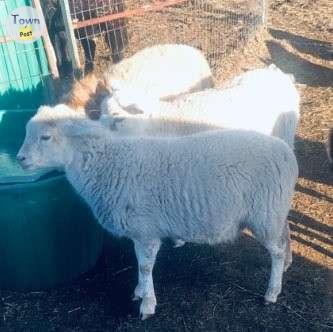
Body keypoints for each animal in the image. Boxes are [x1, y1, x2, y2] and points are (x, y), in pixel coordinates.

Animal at [16, 105, 296, 320]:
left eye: (45, 137)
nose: (20, 159)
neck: (107, 164)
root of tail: (286, 152)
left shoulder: (146, 229)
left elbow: (145, 266)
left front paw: (147, 305)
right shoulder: (137, 230)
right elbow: (138, 262)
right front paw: (140, 292)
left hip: (265, 214)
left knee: (276, 251)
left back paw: (272, 291)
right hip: (276, 210)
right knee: (285, 234)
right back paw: (287, 266)